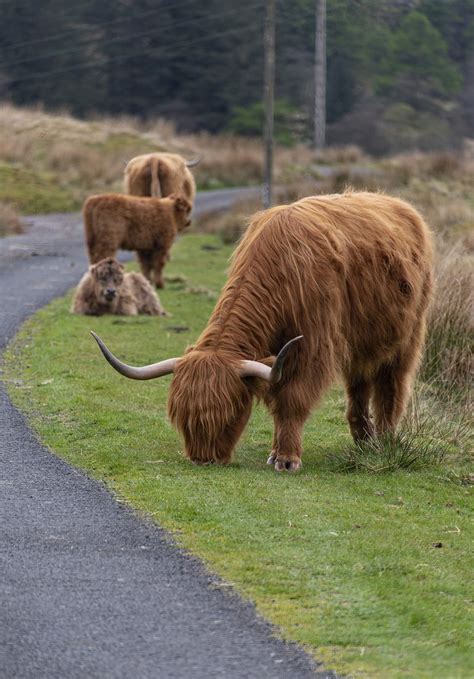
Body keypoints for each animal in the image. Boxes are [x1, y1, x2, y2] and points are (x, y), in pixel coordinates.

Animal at [90, 191, 434, 472]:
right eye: (182, 417)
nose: (203, 459)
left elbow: (292, 399)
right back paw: (363, 440)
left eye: (230, 415)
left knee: (391, 386)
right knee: (359, 385)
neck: (280, 273)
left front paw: (287, 458)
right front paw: (276, 452)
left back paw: (384, 442)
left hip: (407, 335)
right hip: (361, 344)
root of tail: (399, 204)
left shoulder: (313, 346)